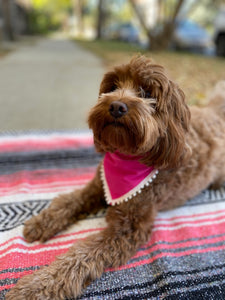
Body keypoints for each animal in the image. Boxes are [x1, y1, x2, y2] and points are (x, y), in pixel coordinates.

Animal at [5, 56, 225, 300]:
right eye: (112, 87)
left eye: (146, 93)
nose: (116, 106)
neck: (125, 157)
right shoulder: (96, 187)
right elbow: (69, 201)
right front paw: (42, 221)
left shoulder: (129, 228)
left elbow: (82, 253)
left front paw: (37, 287)